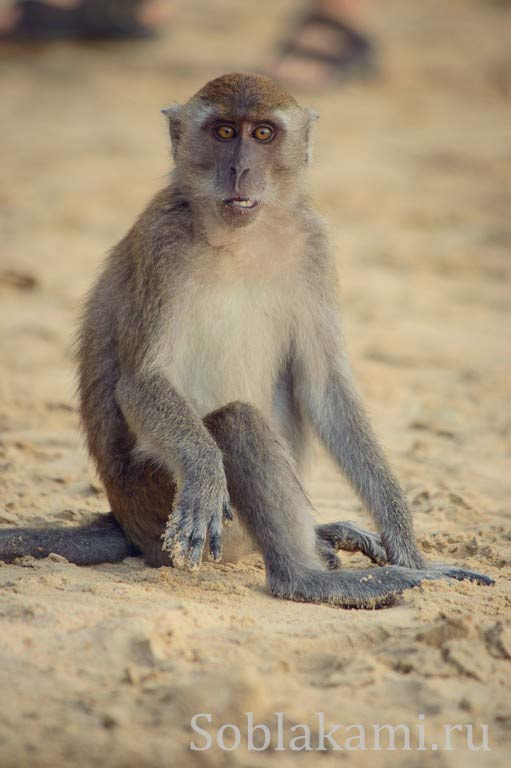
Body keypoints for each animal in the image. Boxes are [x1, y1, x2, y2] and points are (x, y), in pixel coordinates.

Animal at [1, 73, 496, 608]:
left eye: (262, 133)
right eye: (223, 132)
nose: (239, 168)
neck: (237, 239)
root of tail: (124, 522)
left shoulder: (314, 245)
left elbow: (325, 388)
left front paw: (409, 548)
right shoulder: (162, 243)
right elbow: (141, 382)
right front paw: (204, 473)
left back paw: (322, 541)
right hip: (157, 500)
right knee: (237, 423)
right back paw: (305, 577)